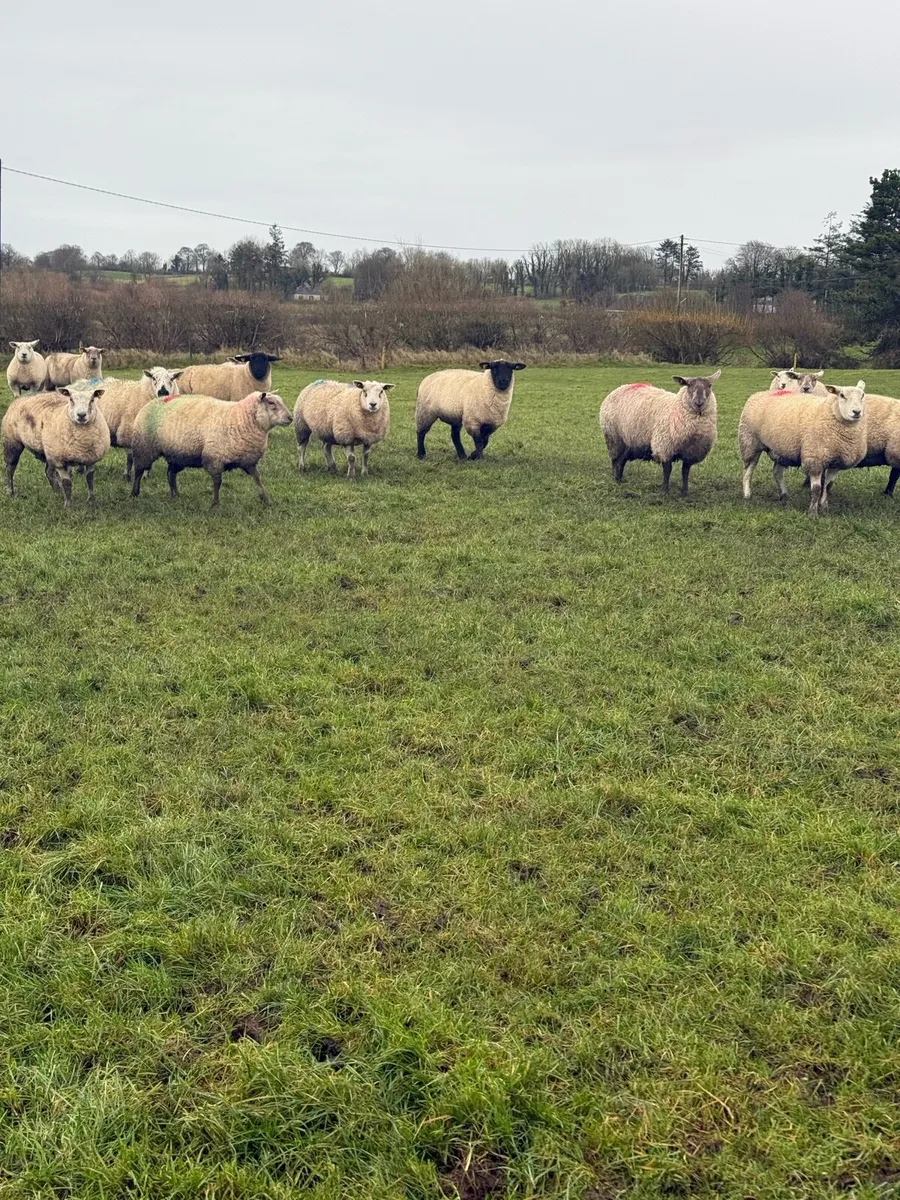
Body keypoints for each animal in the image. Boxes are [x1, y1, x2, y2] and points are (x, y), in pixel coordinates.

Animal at [130, 390, 291, 506]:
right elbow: (217, 482)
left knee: (170, 473)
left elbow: (258, 479)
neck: (239, 417)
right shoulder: (214, 459)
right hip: (144, 448)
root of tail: (154, 400)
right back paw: (135, 493)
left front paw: (266, 499)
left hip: (178, 454)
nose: (290, 418)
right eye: (271, 403)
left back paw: (175, 495)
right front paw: (215, 503)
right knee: (139, 470)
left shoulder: (248, 461)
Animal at [738, 381, 867, 516]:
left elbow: (827, 486)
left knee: (777, 472)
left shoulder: (836, 462)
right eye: (842, 395)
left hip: (783, 449)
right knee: (748, 470)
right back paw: (747, 494)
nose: (856, 412)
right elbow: (816, 489)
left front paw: (824, 508)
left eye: (862, 395)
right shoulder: (814, 459)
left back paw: (784, 495)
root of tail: (759, 393)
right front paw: (812, 513)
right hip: (750, 441)